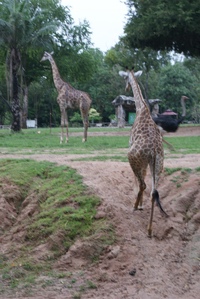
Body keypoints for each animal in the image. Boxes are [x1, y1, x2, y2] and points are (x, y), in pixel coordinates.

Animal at [119, 68, 167, 239]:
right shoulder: (146, 163)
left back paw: (134, 207)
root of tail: (154, 150)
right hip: (158, 164)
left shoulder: (132, 149)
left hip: (132, 157)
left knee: (143, 184)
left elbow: (137, 180)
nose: (126, 88)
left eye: (125, 79)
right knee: (153, 191)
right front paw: (141, 205)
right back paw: (149, 230)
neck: (140, 108)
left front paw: (138, 205)